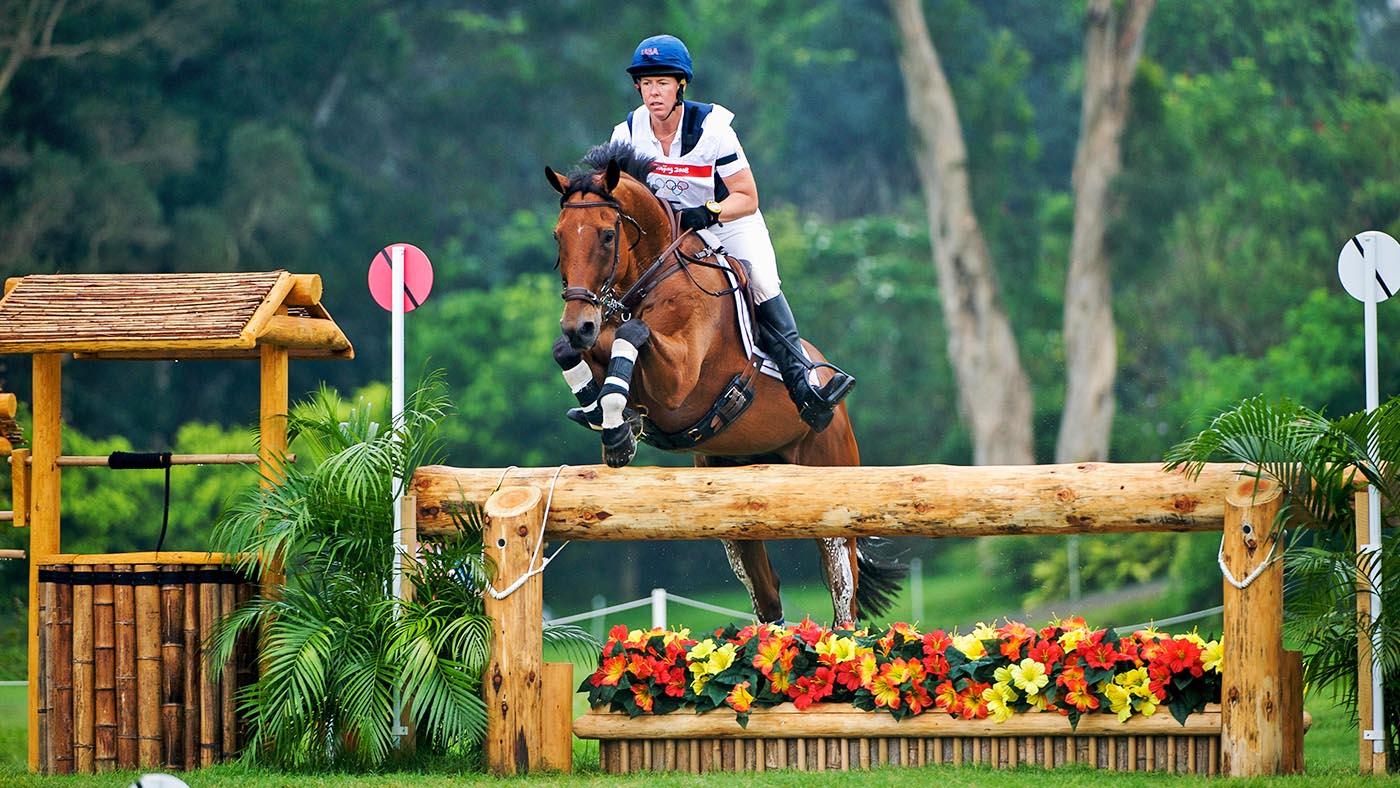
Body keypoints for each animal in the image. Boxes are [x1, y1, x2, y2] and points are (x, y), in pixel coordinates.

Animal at [544, 141, 900, 626]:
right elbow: (576, 354)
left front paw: (617, 423)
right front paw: (608, 419)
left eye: (606, 236)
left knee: (844, 602)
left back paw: (814, 394)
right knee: (768, 599)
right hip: (735, 512)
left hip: (833, 495)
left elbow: (632, 334)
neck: (658, 275)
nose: (577, 324)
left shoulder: (677, 382)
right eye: (559, 236)